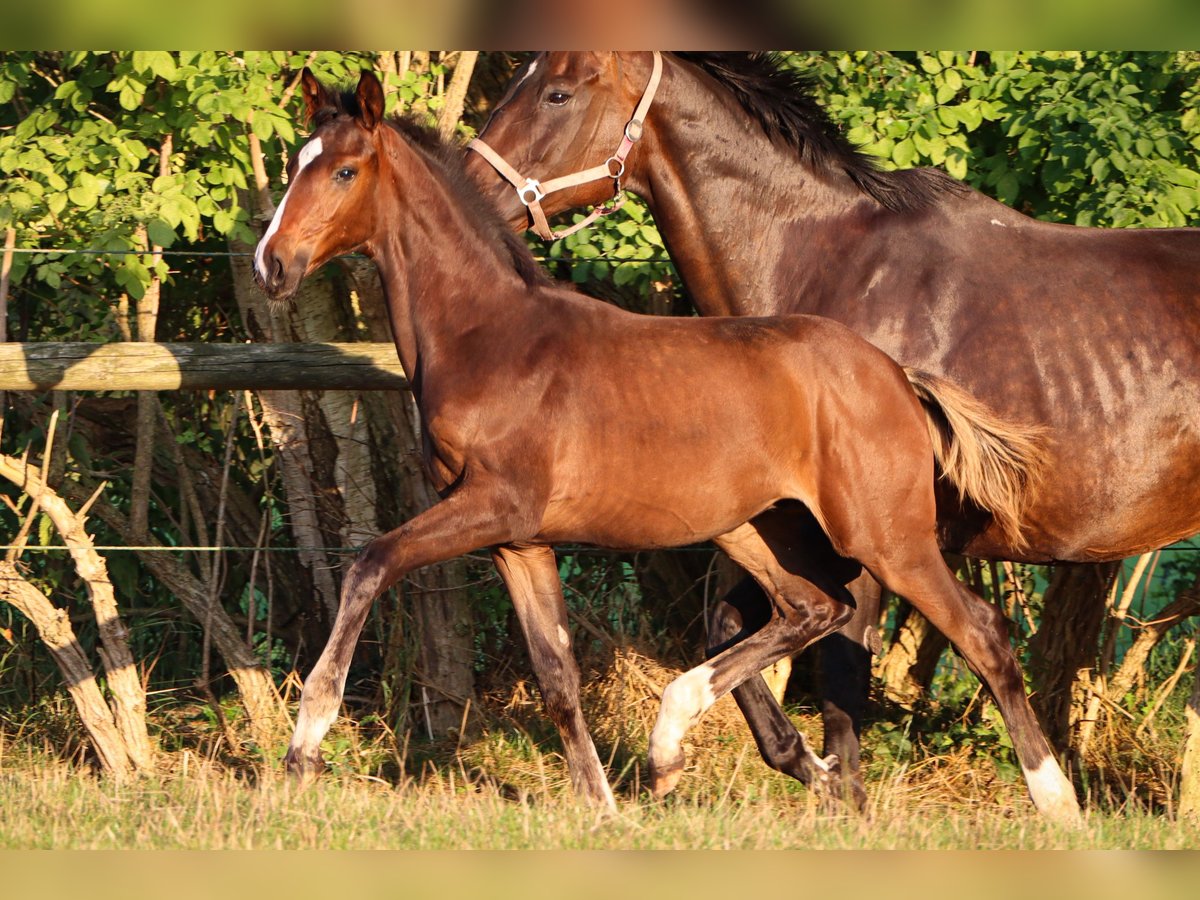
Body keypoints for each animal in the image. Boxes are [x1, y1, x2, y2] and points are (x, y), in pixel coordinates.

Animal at [253, 72, 1080, 825]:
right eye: (295, 162)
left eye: (344, 171)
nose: (270, 265)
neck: (489, 335)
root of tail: (895, 374)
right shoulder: (519, 541)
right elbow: (557, 678)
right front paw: (602, 809)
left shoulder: (490, 505)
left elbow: (369, 564)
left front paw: (305, 746)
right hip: (754, 526)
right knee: (813, 607)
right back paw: (679, 748)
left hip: (886, 537)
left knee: (977, 631)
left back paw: (1058, 804)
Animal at [463, 54, 1200, 801]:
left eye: (557, 93)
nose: (466, 186)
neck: (828, 267)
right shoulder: (784, 528)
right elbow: (730, 632)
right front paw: (799, 767)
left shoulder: (868, 547)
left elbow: (842, 672)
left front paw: (842, 792)